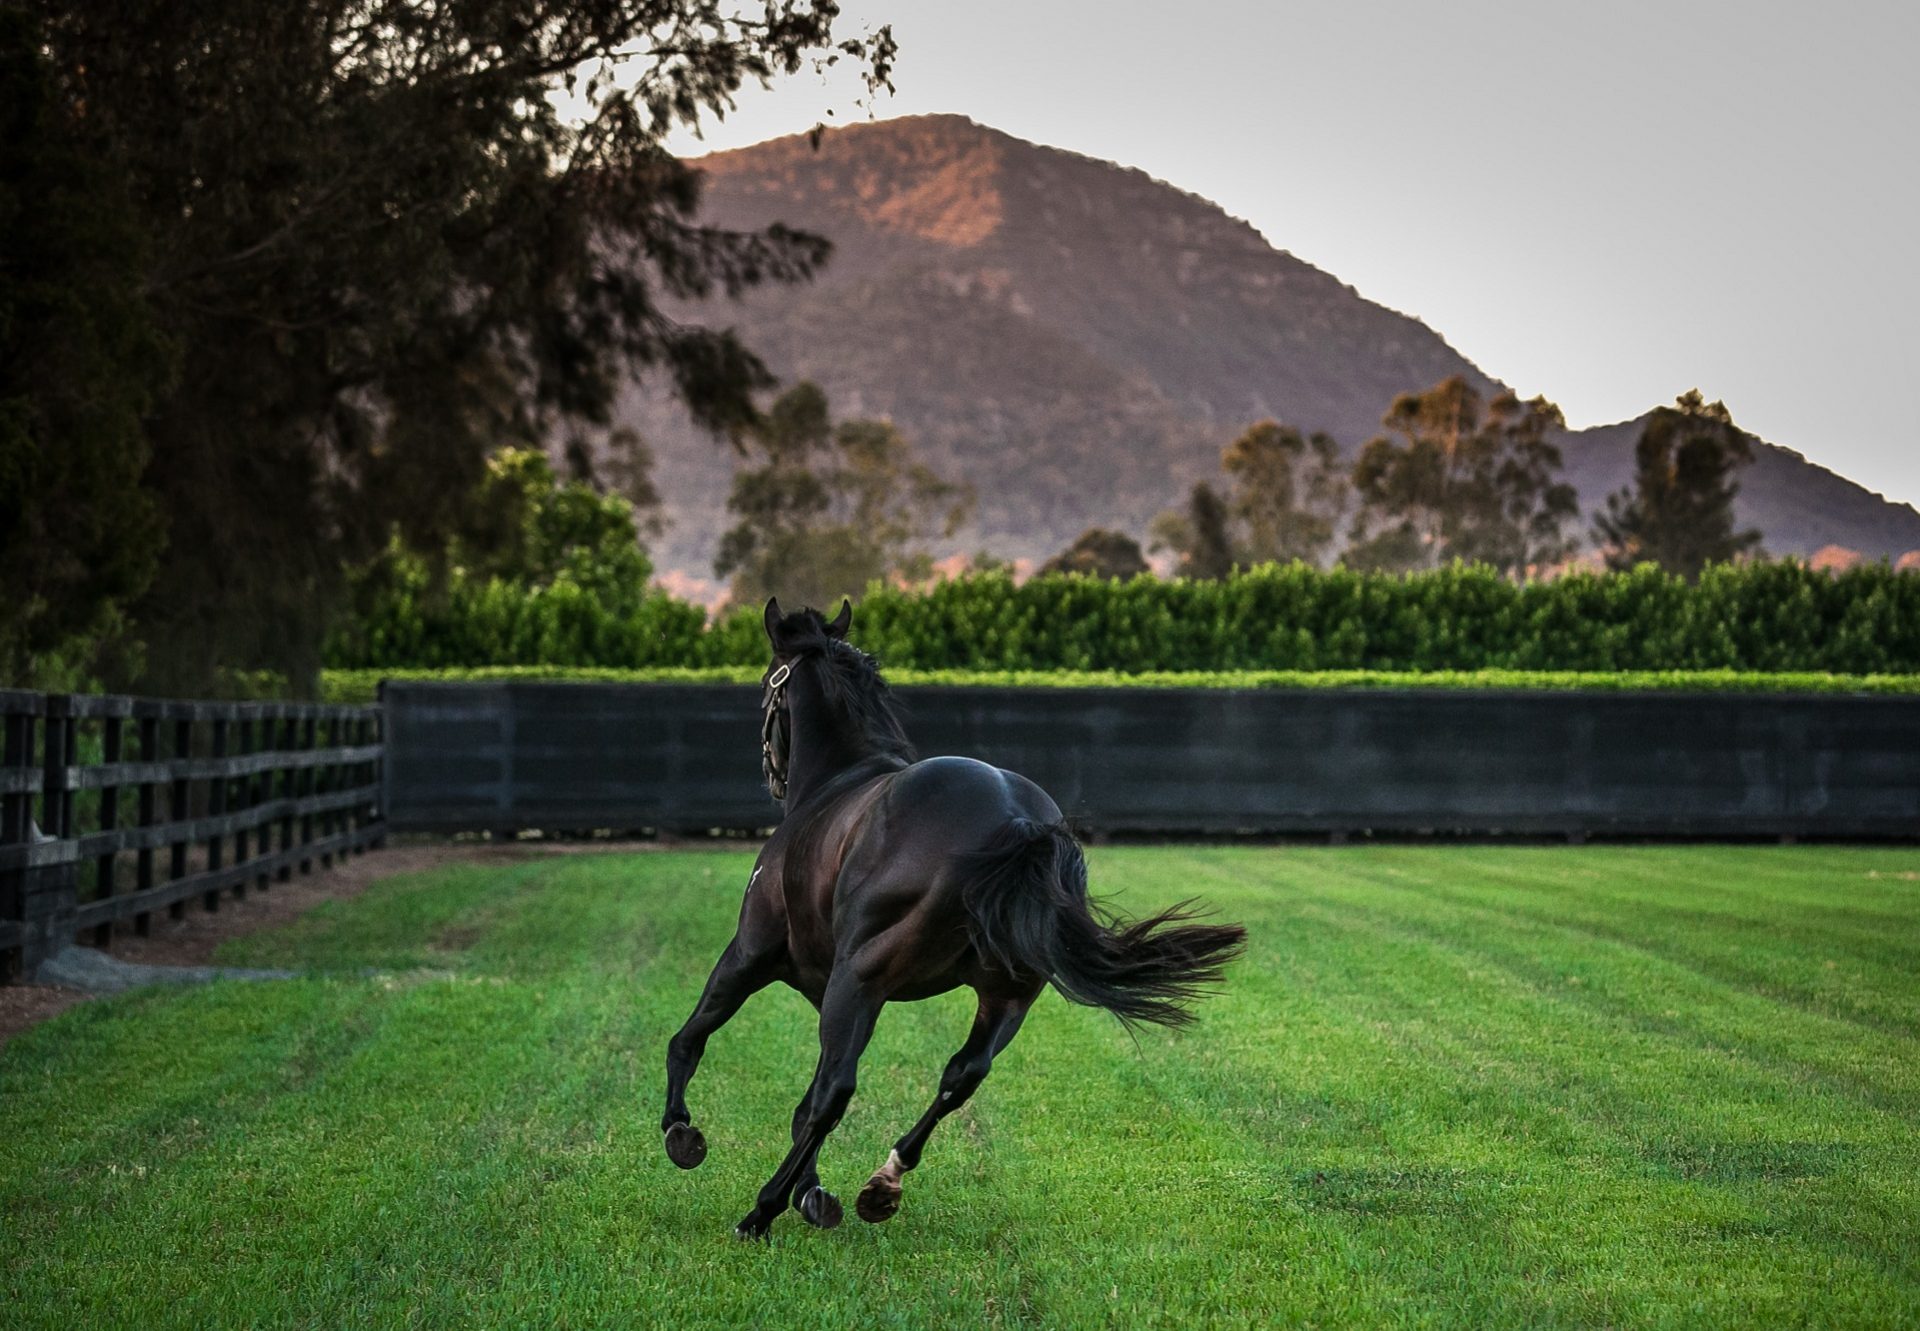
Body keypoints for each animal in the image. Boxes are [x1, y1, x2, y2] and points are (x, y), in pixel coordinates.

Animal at [668, 595, 1251, 1244]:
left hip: (863, 978)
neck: (836, 784)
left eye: (769, 686)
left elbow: (692, 1039)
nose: (770, 772)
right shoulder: (828, 991)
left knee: (837, 1091)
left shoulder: (754, 955)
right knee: (960, 1075)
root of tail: (1015, 821)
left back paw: (761, 1211)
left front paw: (683, 1134)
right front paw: (814, 1193)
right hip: (1006, 993)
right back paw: (881, 1183)